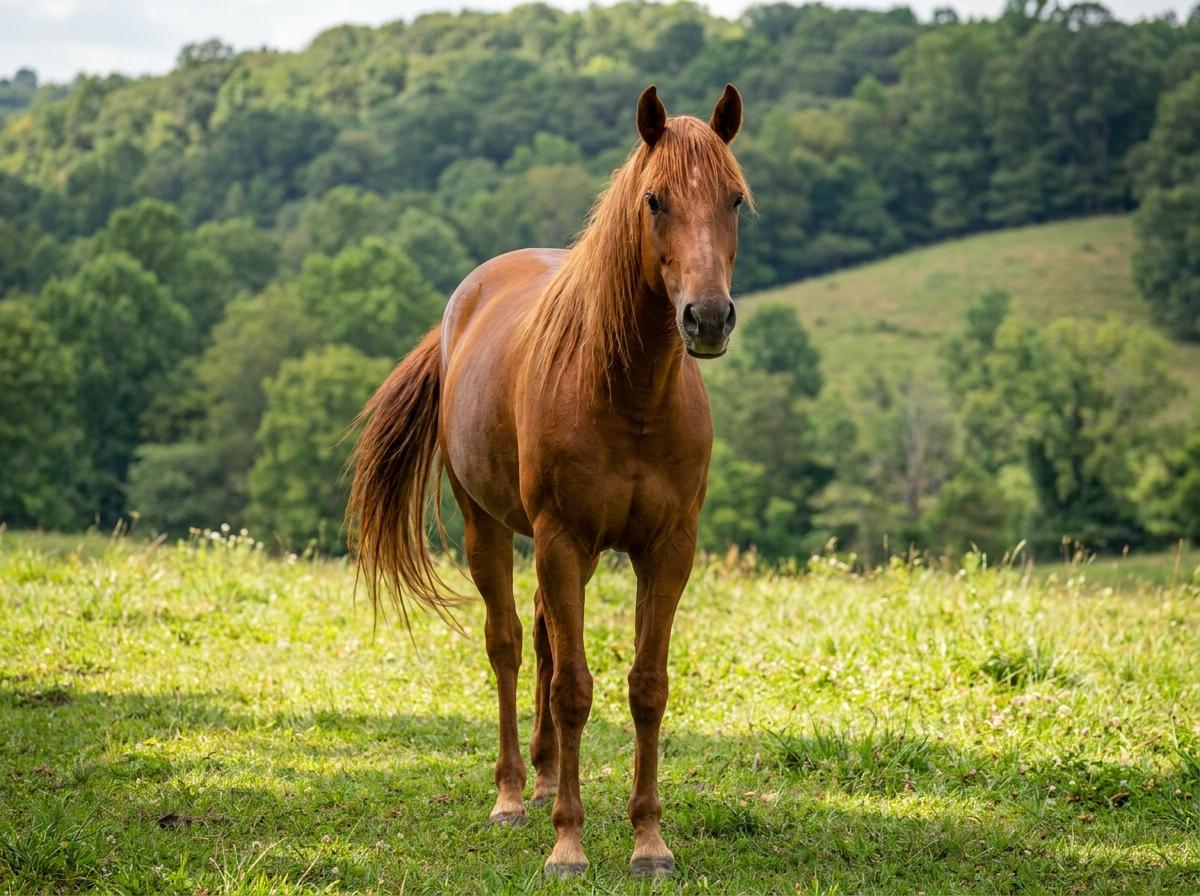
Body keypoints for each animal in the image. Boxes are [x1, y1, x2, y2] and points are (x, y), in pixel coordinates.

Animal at [347, 83, 750, 878]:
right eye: (655, 199)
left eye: (734, 200)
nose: (708, 318)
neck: (628, 394)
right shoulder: (562, 540)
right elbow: (572, 688)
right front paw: (569, 843)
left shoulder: (668, 549)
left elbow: (646, 687)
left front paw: (649, 841)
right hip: (492, 528)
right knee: (507, 642)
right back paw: (511, 794)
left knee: (538, 636)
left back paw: (538, 779)